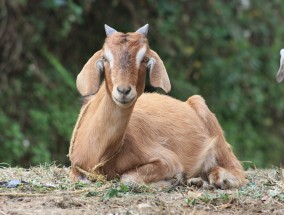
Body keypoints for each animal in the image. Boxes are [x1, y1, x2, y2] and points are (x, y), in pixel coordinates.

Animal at [68, 24, 246, 188]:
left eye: (145, 59)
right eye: (105, 58)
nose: (124, 90)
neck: (100, 154)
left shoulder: (168, 159)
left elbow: (128, 178)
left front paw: (173, 179)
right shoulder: (76, 169)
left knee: (237, 169)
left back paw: (219, 179)